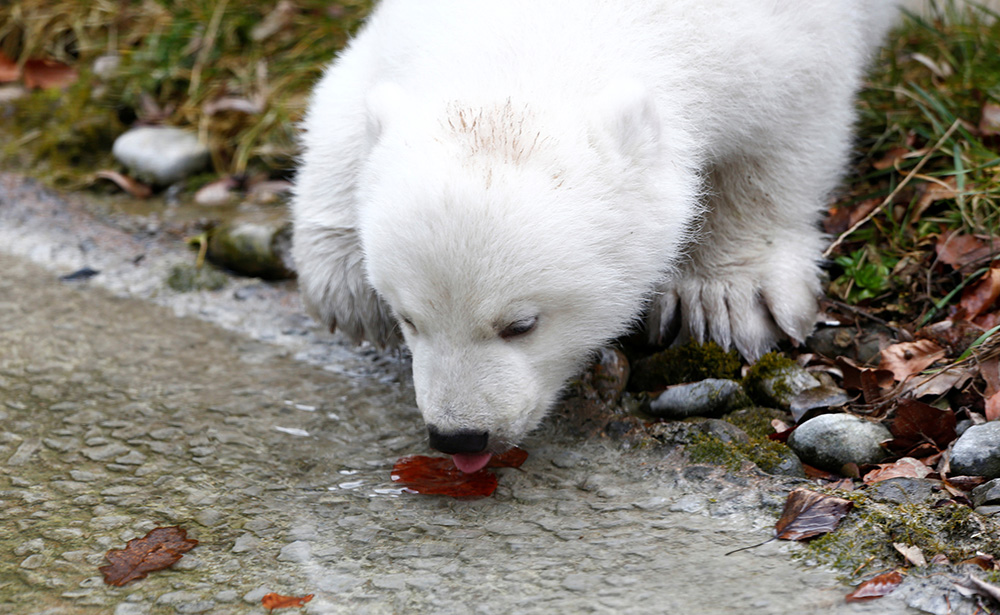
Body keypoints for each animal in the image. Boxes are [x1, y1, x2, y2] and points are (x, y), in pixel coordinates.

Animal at [292, 0, 901, 473]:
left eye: (521, 325)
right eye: (409, 318)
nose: (459, 435)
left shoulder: (786, 37)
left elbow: (788, 137)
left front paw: (726, 299)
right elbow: (338, 97)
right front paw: (343, 287)